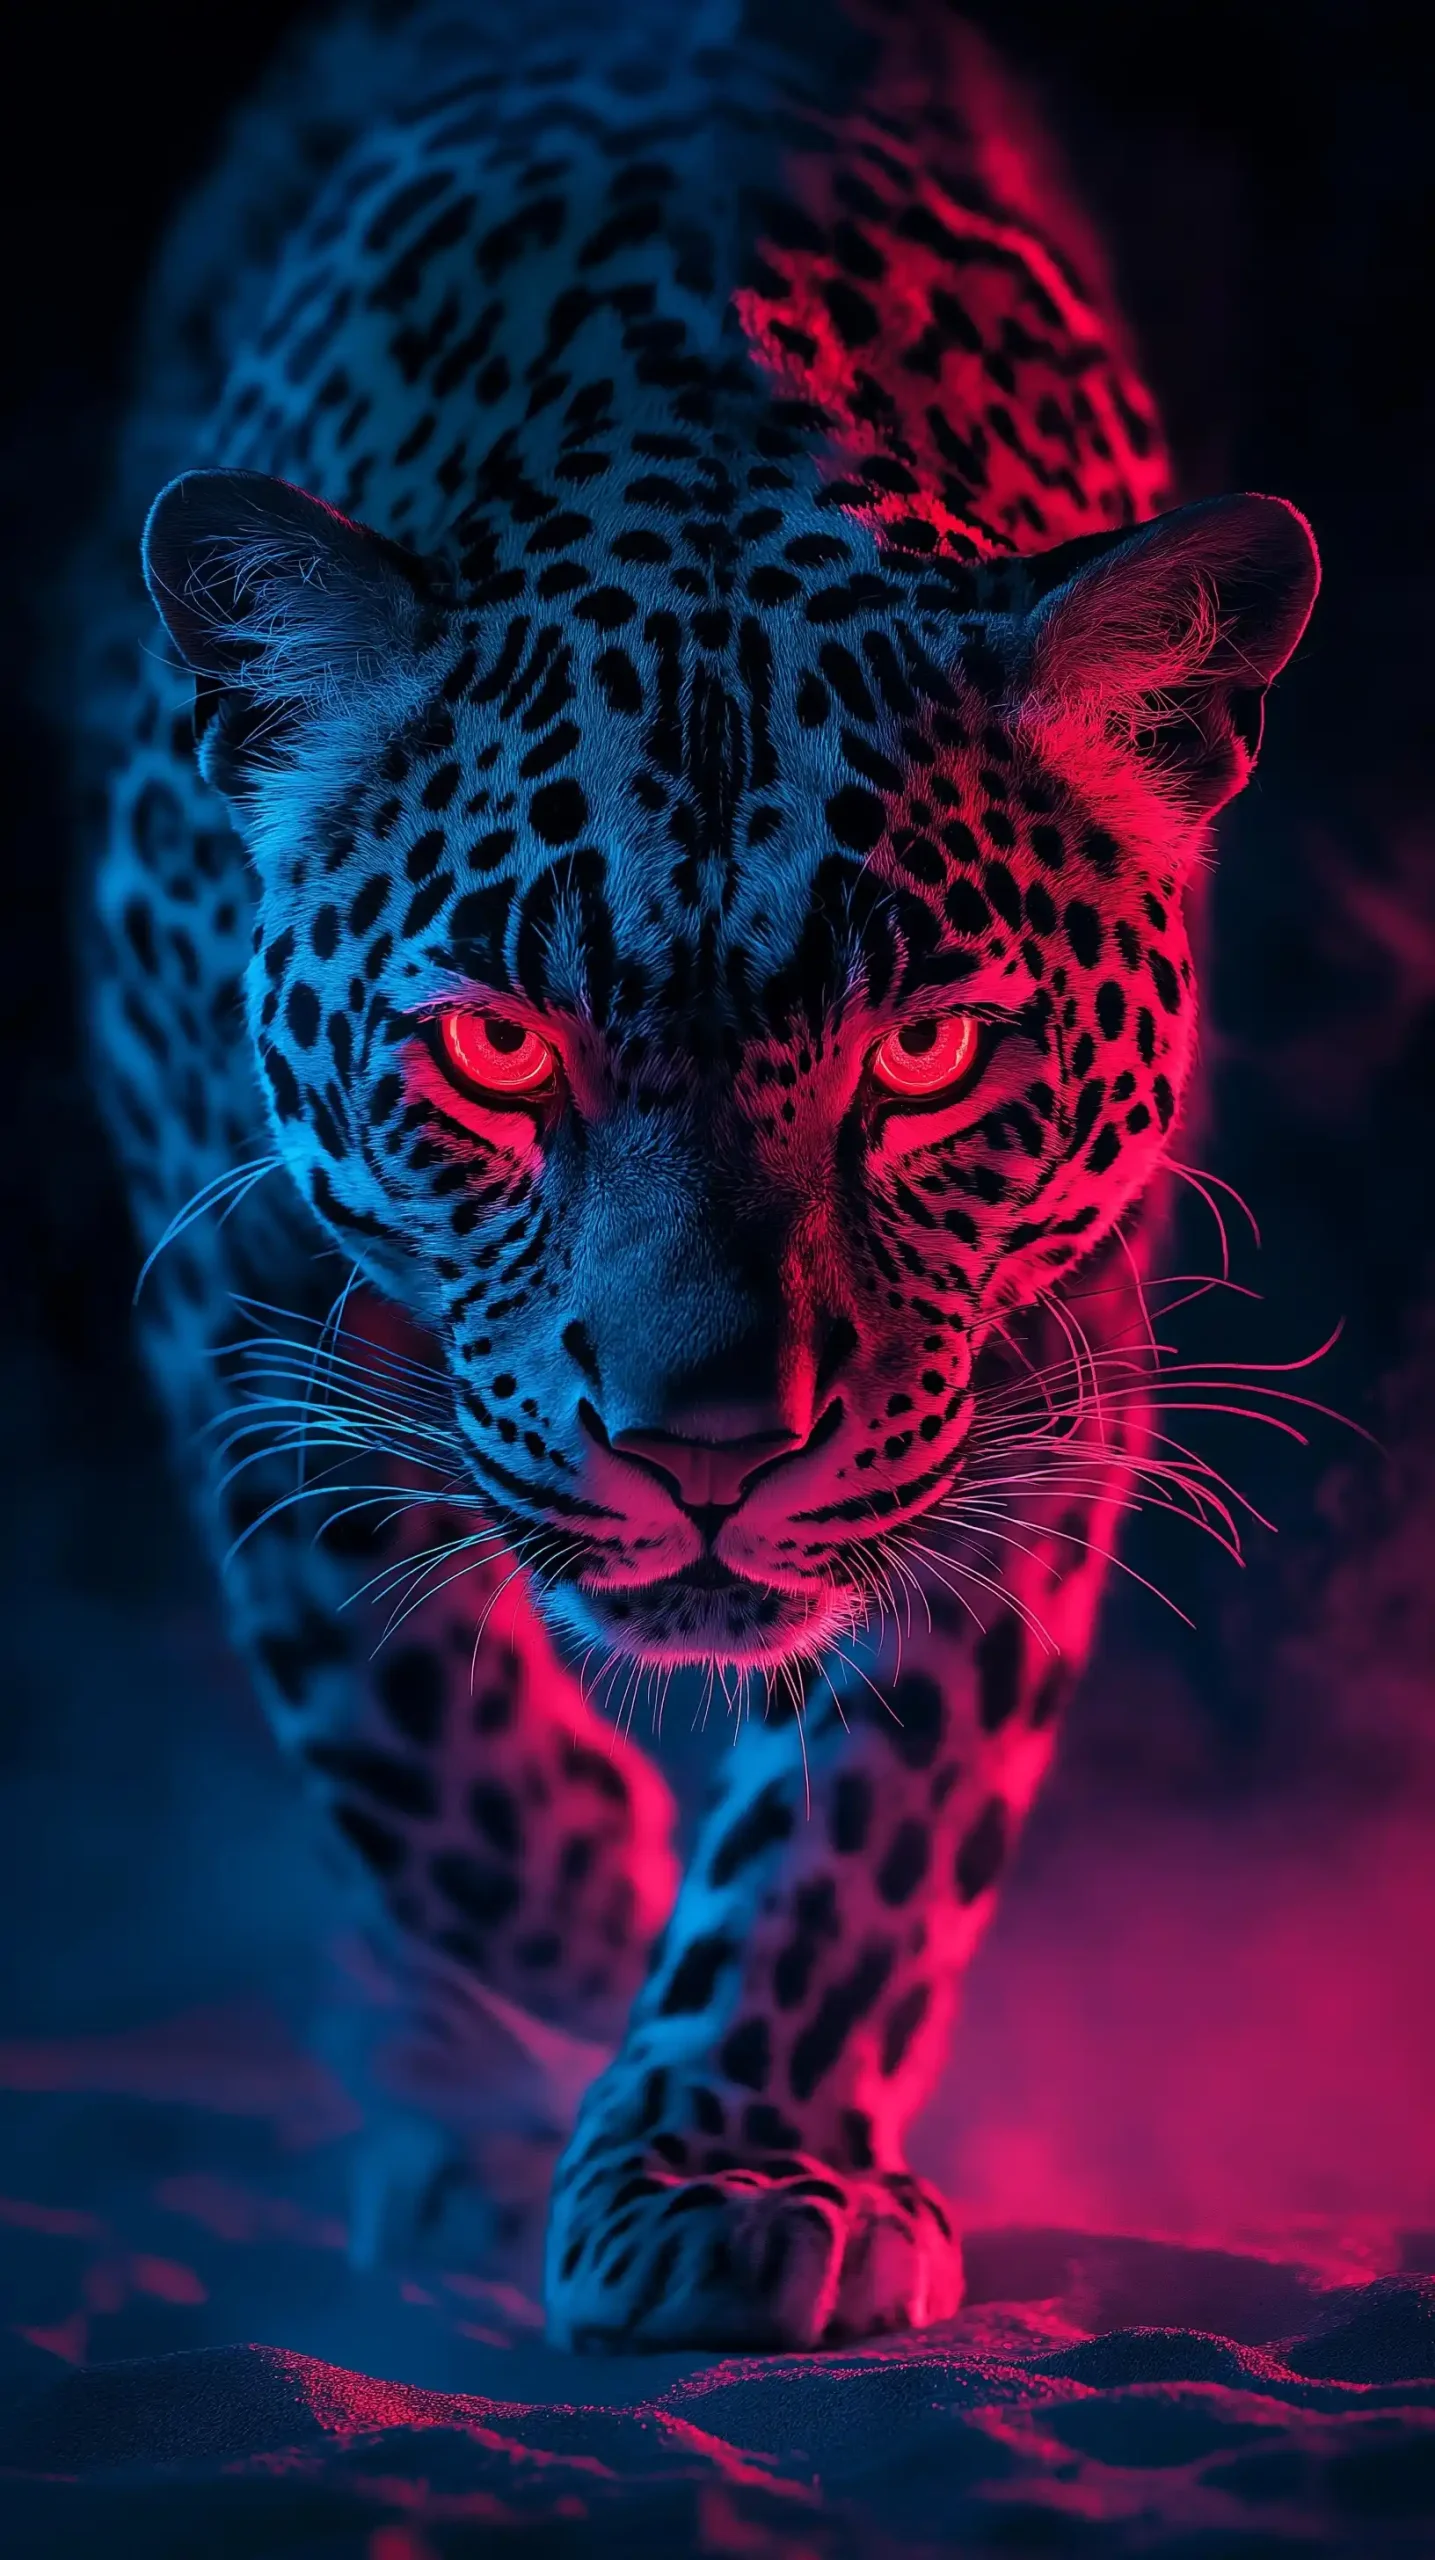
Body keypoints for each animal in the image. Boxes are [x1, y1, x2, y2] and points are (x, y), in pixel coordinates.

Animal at [75, 0, 1319, 2351]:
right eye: (496, 1046)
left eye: (925, 1054)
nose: (712, 1446)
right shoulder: (228, 1250)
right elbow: (368, 1661)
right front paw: (581, 1908)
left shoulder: (1040, 1363)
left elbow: (879, 1806)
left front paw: (733, 2169)